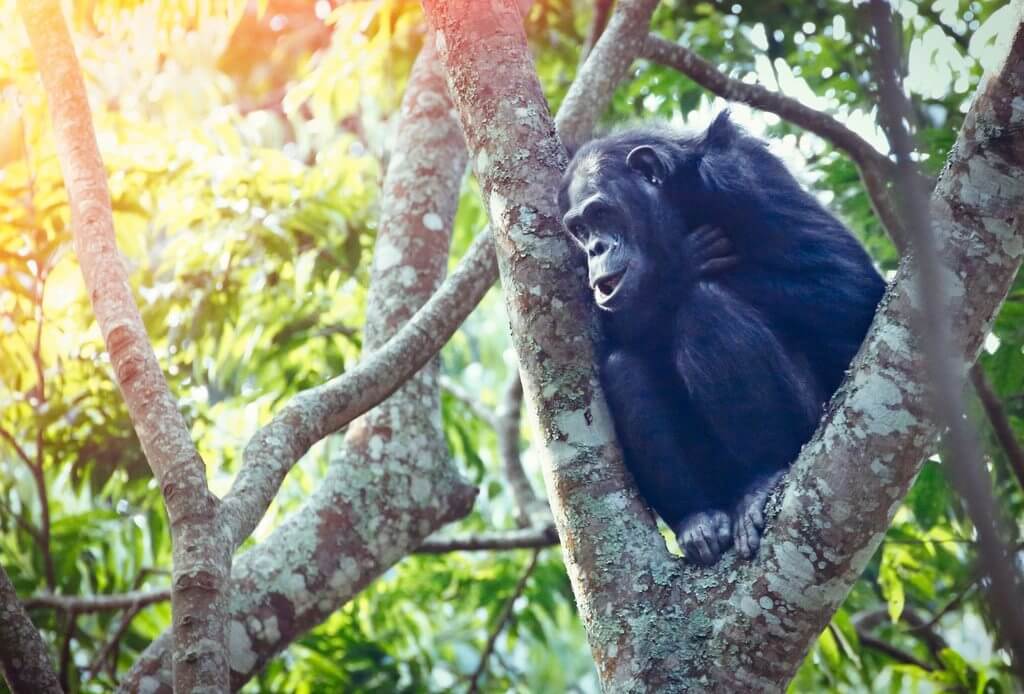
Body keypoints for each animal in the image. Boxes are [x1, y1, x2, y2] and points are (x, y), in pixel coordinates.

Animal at [557, 112, 884, 565]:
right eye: (580, 229)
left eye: (602, 213)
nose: (596, 248)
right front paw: (672, 272)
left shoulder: (744, 179)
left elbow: (851, 287)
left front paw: (670, 273)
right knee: (623, 368)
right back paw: (698, 519)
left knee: (705, 309)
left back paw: (763, 479)